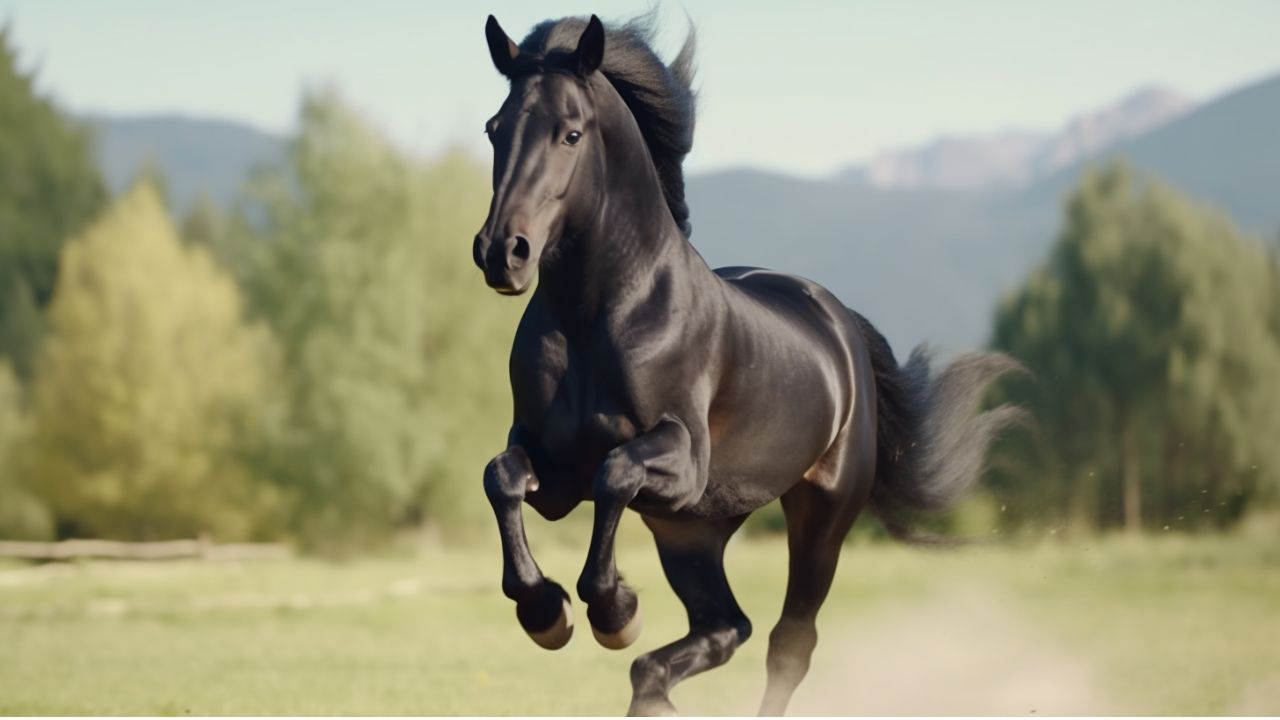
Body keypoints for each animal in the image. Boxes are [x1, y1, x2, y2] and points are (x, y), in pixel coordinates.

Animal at [476, 14, 1024, 712]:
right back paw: (652, 684)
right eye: (495, 128)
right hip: (691, 532)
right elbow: (502, 477)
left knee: (788, 642)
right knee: (723, 627)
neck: (596, 316)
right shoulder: (554, 468)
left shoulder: (681, 463)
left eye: (571, 132)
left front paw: (615, 611)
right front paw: (546, 612)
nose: (502, 253)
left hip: (817, 516)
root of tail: (838, 319)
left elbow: (616, 473)